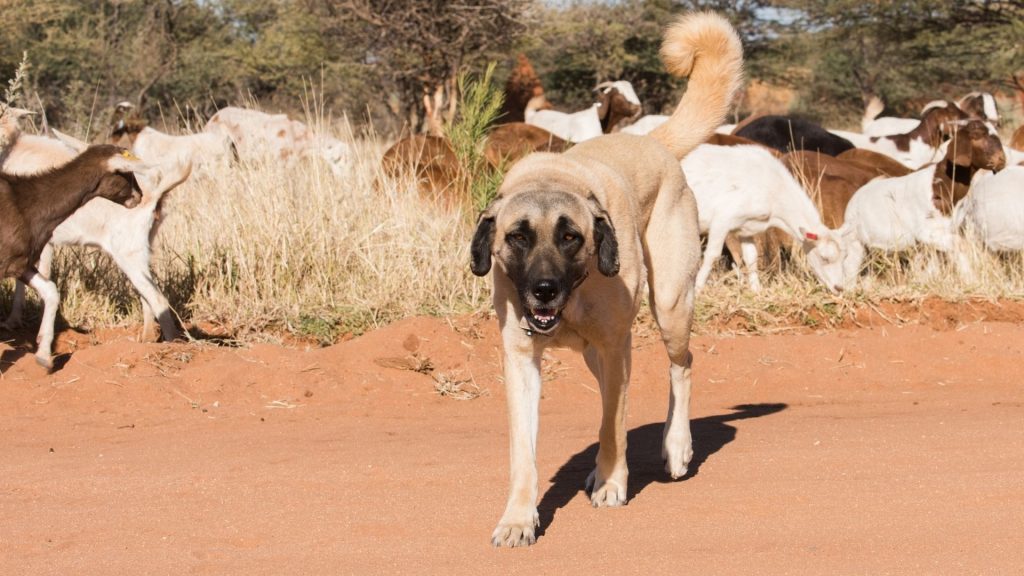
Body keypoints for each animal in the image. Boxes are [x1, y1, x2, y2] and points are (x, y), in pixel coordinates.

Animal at [0, 144, 146, 366]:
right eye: (125, 172)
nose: (140, 195)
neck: (27, 205)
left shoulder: (20, 263)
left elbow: (51, 291)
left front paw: (44, 354)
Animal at [471, 11, 745, 545]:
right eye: (517, 237)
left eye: (570, 237)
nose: (544, 290)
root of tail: (649, 140)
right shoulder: (521, 361)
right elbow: (524, 455)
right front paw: (518, 518)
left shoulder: (617, 347)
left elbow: (612, 426)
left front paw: (614, 484)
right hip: (599, 354)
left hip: (669, 308)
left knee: (681, 366)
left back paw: (675, 447)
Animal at [684, 143, 843, 291]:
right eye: (824, 258)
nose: (839, 288)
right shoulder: (722, 220)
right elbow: (712, 254)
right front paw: (698, 287)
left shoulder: (745, 228)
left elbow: (751, 258)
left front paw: (756, 290)